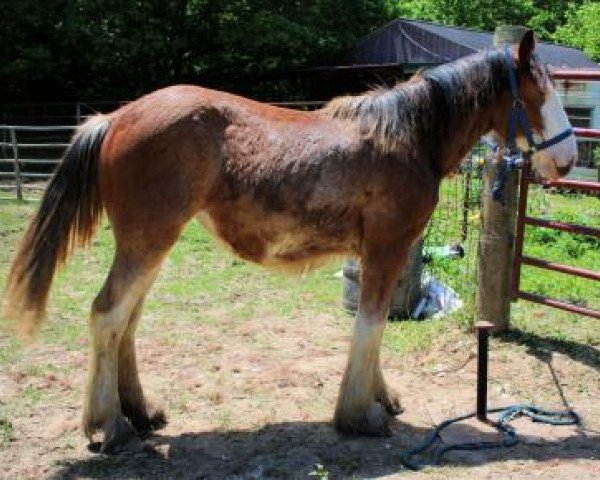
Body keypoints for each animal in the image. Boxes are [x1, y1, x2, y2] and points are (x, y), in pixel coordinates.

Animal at [3, 30, 576, 450]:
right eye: (539, 93)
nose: (569, 160)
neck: (406, 139)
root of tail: (115, 117)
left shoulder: (384, 254)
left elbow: (375, 326)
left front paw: (382, 397)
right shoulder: (386, 248)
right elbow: (370, 326)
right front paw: (359, 415)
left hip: (150, 246)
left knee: (127, 322)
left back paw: (140, 413)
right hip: (146, 243)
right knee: (107, 315)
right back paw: (107, 426)